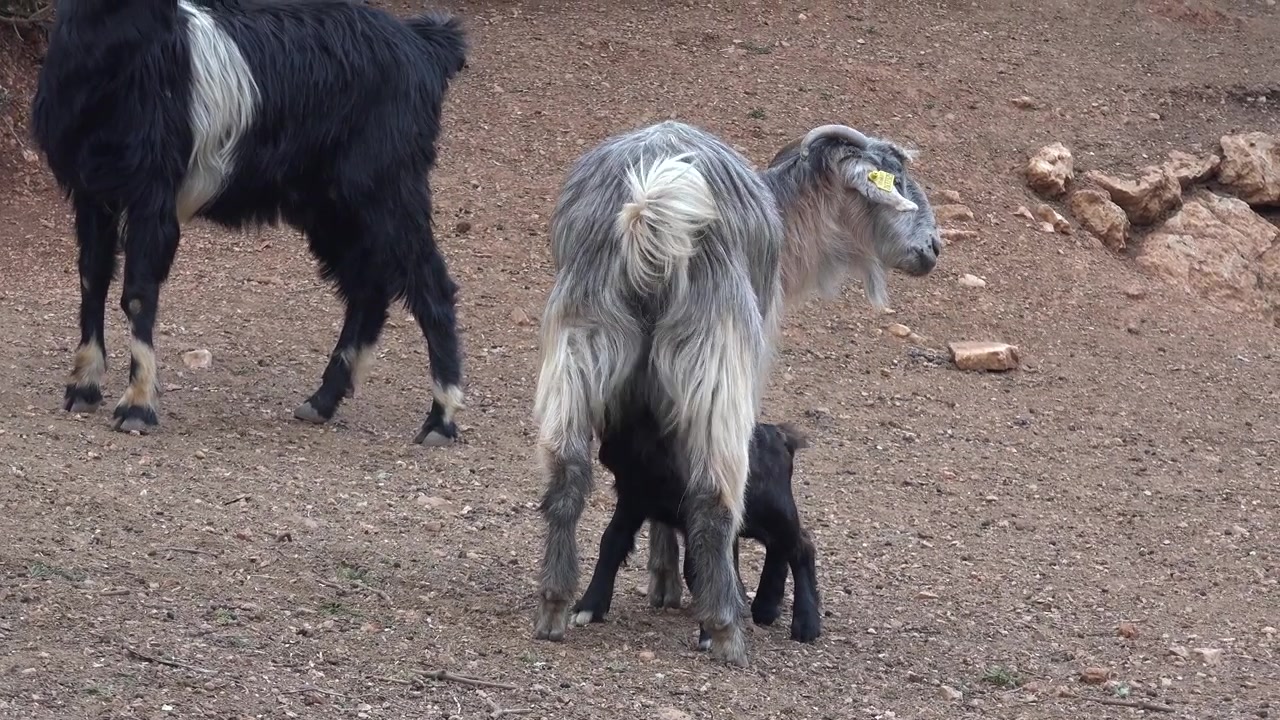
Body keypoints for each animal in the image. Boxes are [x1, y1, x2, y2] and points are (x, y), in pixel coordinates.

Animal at [30, 0, 468, 444]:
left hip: (387, 187)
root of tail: (425, 49)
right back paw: (322, 401)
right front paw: (83, 386)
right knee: (368, 289)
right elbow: (92, 278)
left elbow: (137, 293)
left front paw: (136, 405)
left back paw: (441, 418)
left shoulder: (152, 192)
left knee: (431, 285)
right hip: (330, 205)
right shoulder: (91, 189)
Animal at [572, 412, 822, 647]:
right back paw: (766, 607)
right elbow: (612, 543)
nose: (605, 453)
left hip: (770, 508)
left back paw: (806, 623)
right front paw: (588, 607)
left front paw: (714, 631)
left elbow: (704, 568)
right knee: (779, 545)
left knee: (801, 545)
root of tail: (780, 436)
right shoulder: (633, 499)